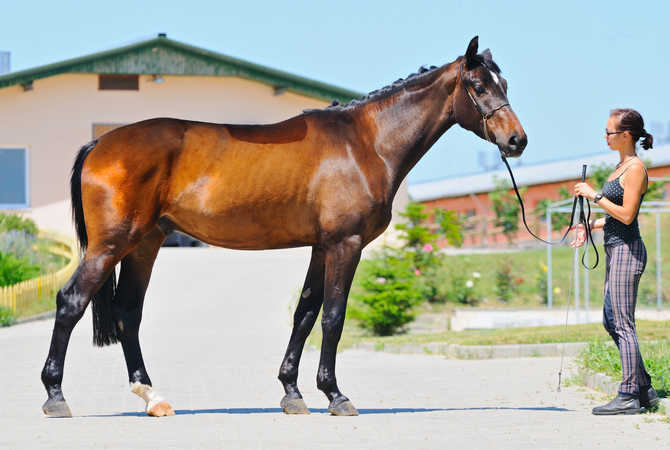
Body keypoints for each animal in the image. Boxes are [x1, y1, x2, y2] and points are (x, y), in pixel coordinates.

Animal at [42, 36, 528, 418]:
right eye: (479, 86)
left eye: (505, 85)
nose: (516, 141)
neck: (365, 144)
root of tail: (100, 142)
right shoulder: (346, 245)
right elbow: (333, 317)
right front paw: (335, 395)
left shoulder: (322, 247)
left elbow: (305, 313)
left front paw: (293, 393)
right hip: (111, 245)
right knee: (71, 302)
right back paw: (55, 396)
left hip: (145, 243)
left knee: (128, 313)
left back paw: (153, 397)